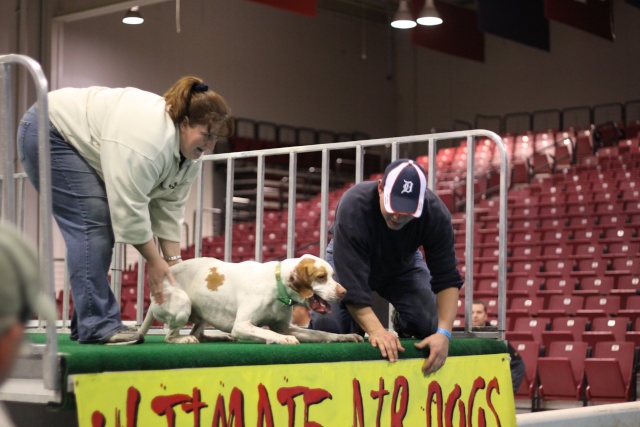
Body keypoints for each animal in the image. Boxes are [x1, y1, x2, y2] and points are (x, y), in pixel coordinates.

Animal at [138, 256, 362, 346]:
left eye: (333, 275)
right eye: (321, 277)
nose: (344, 292)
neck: (276, 284)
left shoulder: (285, 326)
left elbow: (321, 333)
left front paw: (345, 336)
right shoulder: (242, 325)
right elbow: (267, 331)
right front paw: (281, 340)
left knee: (199, 333)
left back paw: (220, 337)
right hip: (182, 304)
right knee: (171, 337)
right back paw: (184, 339)